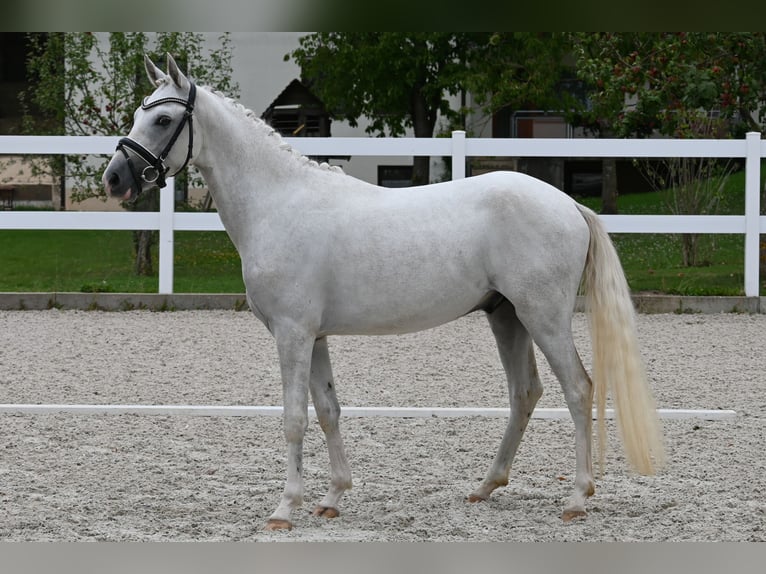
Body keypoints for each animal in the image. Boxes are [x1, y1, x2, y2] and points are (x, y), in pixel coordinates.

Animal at [102, 54, 665, 531]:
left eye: (161, 120)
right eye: (136, 114)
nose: (114, 179)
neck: (279, 201)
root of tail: (568, 204)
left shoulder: (292, 334)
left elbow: (294, 418)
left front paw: (285, 508)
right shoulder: (315, 336)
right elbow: (328, 410)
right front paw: (332, 498)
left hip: (542, 316)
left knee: (578, 389)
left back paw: (576, 497)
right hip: (506, 316)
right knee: (524, 393)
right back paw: (485, 486)